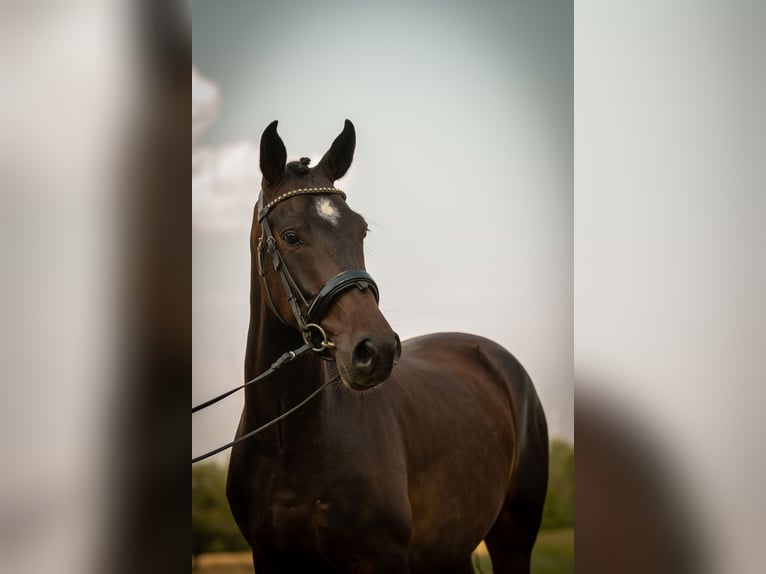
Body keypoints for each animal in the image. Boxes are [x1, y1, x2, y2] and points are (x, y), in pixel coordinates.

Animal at [226, 120, 549, 573]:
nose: (375, 350)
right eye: (291, 236)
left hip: (513, 539)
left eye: (360, 230)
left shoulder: (383, 557)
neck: (286, 441)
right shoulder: (268, 558)